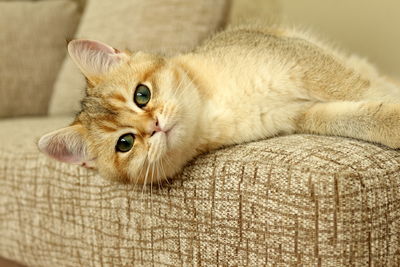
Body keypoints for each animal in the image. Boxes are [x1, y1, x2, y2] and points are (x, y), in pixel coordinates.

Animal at [39, 25, 400, 184]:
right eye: (125, 143)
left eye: (142, 95)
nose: (154, 126)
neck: (215, 105)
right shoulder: (298, 114)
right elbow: (356, 115)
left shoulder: (305, 64)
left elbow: (362, 89)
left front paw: (390, 100)